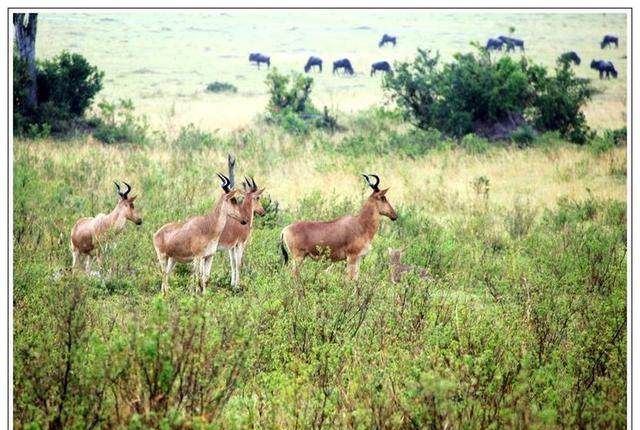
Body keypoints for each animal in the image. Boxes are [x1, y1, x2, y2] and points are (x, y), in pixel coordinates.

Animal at [215, 155, 264, 288]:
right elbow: (238, 263)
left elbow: (232, 263)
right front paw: (237, 285)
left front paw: (232, 284)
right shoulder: (240, 244)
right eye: (257, 197)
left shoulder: (231, 246)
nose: (263, 212)